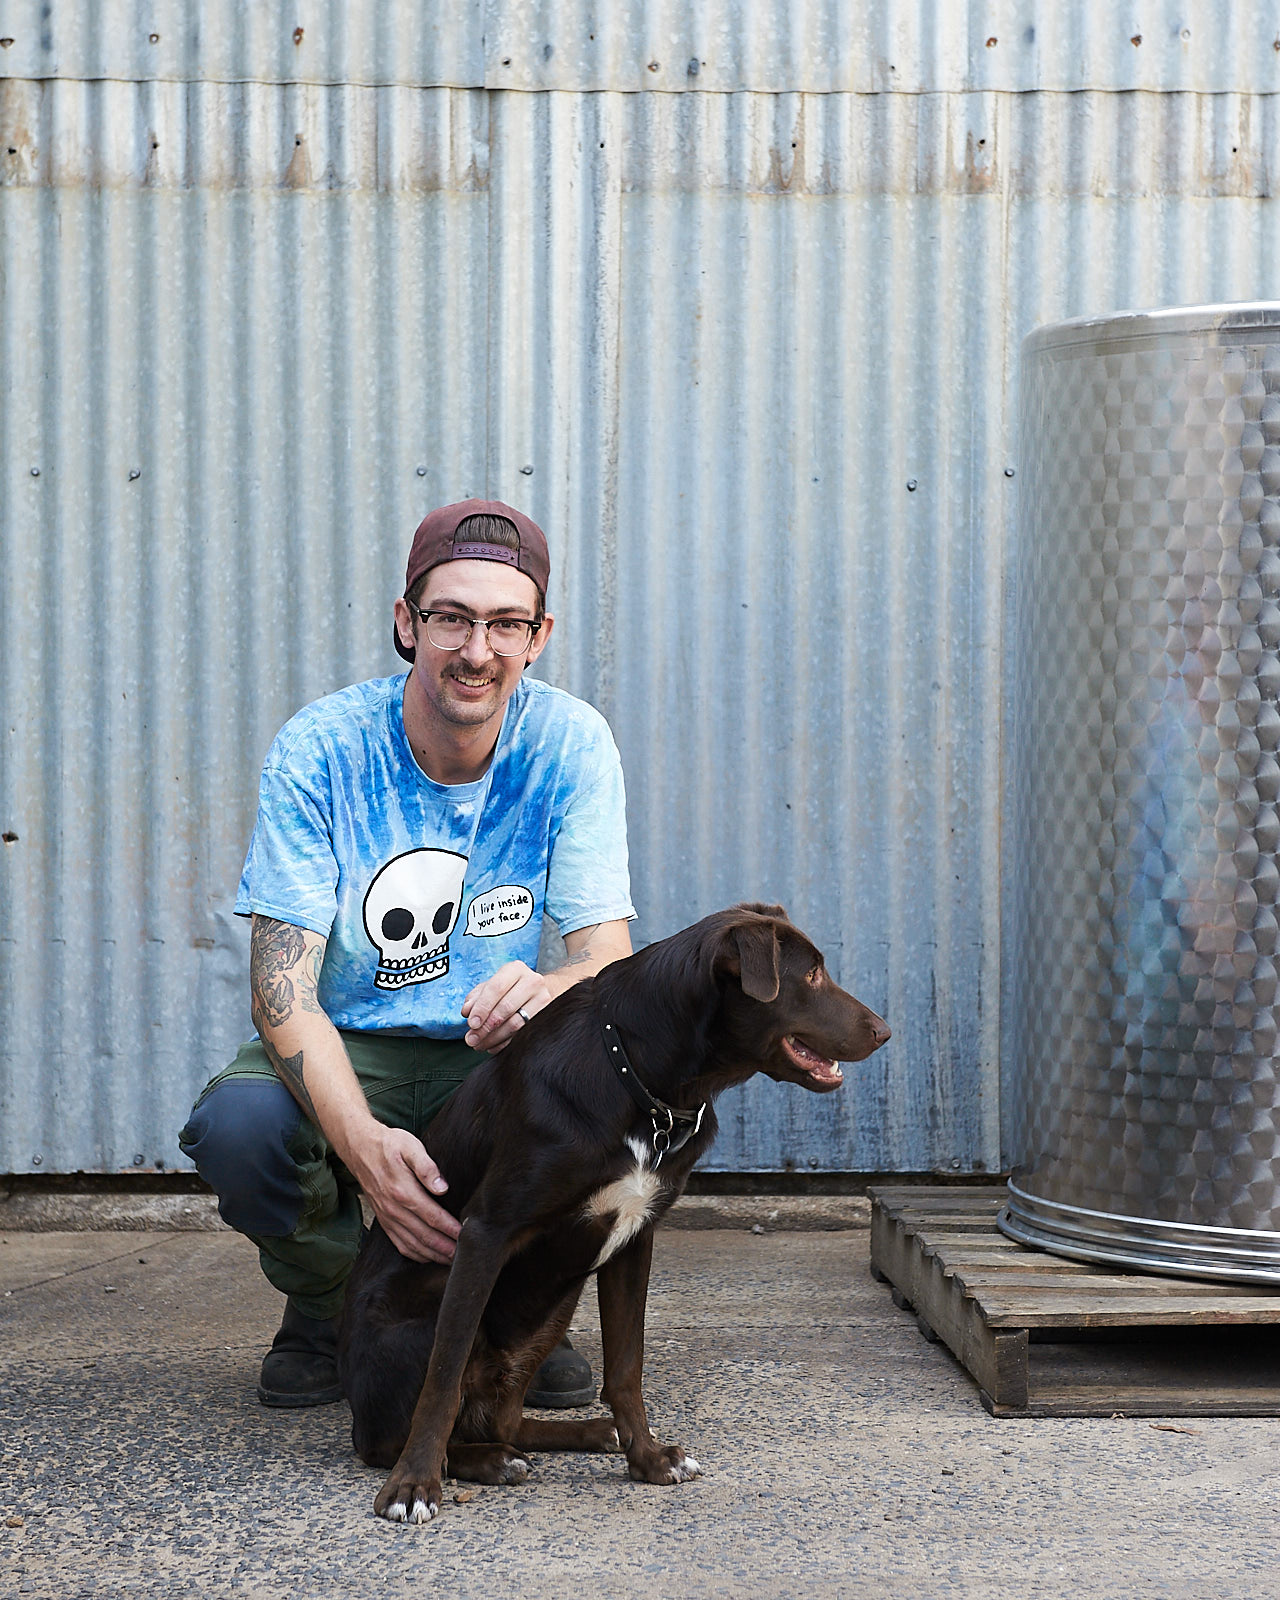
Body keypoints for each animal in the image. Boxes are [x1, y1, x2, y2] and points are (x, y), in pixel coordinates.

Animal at [339, 908, 889, 1516]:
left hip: (554, 1309)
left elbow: (626, 1367)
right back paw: (478, 1460)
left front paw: (646, 1457)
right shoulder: (486, 1232)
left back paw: (581, 1435)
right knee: (393, 1437)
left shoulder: (635, 1238)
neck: (639, 1078)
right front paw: (413, 1485)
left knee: (504, 1420)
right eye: (811, 975)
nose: (885, 1031)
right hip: (427, 1320)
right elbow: (444, 1373)